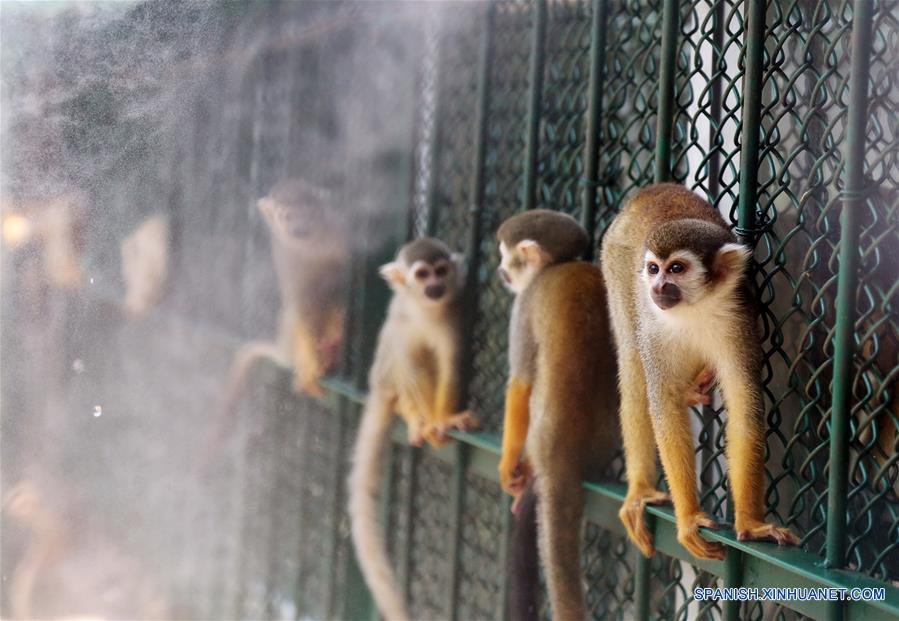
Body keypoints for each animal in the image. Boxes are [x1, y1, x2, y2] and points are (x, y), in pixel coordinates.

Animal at [350, 239, 482, 620]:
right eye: (422, 274)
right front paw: (427, 421)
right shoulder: (401, 316)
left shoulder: (452, 313)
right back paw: (413, 416)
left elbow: (451, 363)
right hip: (383, 376)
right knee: (397, 359)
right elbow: (408, 361)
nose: (434, 286)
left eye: (441, 271)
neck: (424, 310)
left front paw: (444, 420)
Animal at [496, 211, 624, 616]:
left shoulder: (524, 305)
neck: (559, 264)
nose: (500, 270)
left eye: (505, 255)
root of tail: (562, 457)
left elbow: (520, 383)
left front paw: (508, 467)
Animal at [600, 183, 800, 560]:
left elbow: (744, 405)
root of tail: (649, 191)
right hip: (615, 262)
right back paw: (640, 489)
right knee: (633, 364)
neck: (695, 307)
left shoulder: (738, 316)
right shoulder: (654, 329)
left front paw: (750, 523)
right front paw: (690, 517)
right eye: (654, 269)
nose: (657, 287)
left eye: (676, 268)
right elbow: (664, 407)